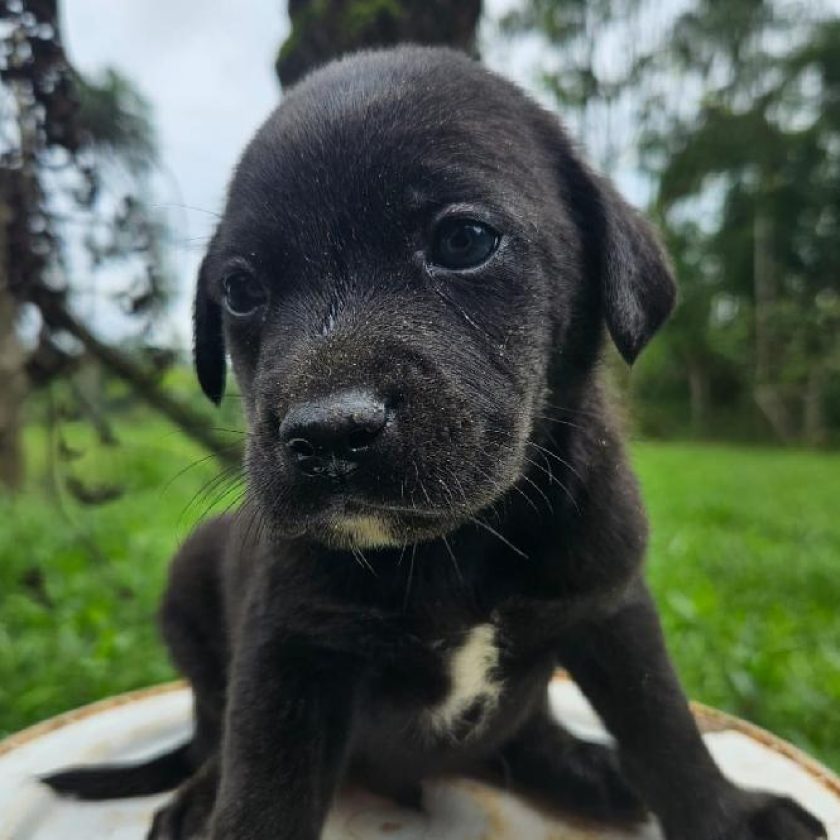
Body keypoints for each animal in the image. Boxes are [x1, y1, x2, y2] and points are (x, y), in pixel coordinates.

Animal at [42, 47, 824, 840]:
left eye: (465, 241)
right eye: (239, 290)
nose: (329, 434)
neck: (454, 547)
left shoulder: (612, 605)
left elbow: (665, 730)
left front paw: (730, 815)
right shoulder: (288, 653)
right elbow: (259, 792)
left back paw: (582, 766)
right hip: (189, 578)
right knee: (209, 729)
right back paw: (200, 793)